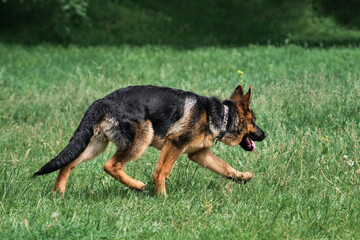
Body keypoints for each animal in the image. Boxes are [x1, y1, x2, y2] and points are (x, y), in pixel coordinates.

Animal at [33, 84, 264, 197]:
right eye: (254, 122)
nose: (265, 135)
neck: (221, 115)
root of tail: (102, 101)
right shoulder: (174, 144)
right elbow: (161, 172)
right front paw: (163, 199)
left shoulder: (199, 153)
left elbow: (225, 167)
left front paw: (243, 177)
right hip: (142, 139)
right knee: (110, 165)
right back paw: (136, 186)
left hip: (94, 145)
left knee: (69, 163)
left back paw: (58, 193)